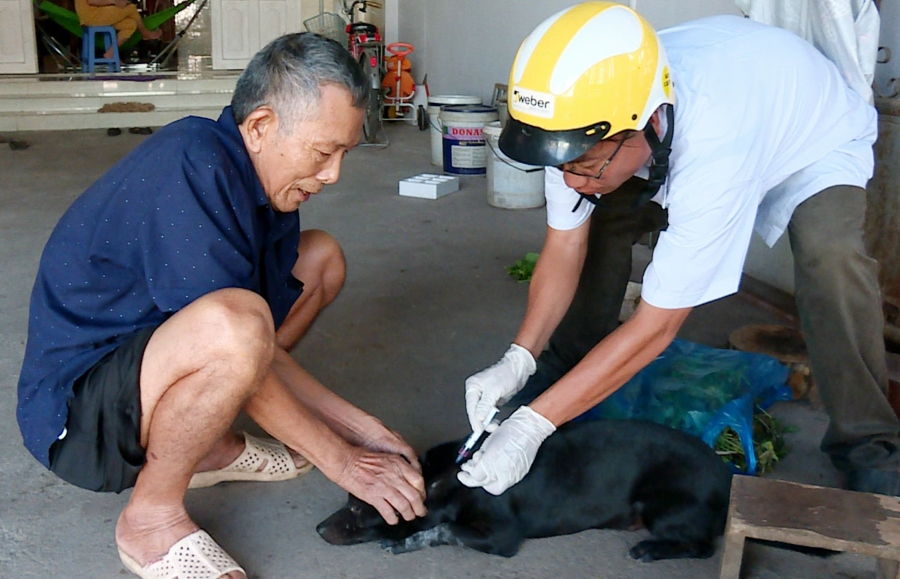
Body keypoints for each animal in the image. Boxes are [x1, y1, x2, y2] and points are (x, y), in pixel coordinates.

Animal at [316, 422, 732, 560]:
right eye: (348, 500)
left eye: (360, 511)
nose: (318, 529)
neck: (443, 477)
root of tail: (727, 475)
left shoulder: (502, 536)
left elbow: (442, 529)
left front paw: (404, 541)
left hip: (661, 505)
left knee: (703, 547)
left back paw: (651, 549)